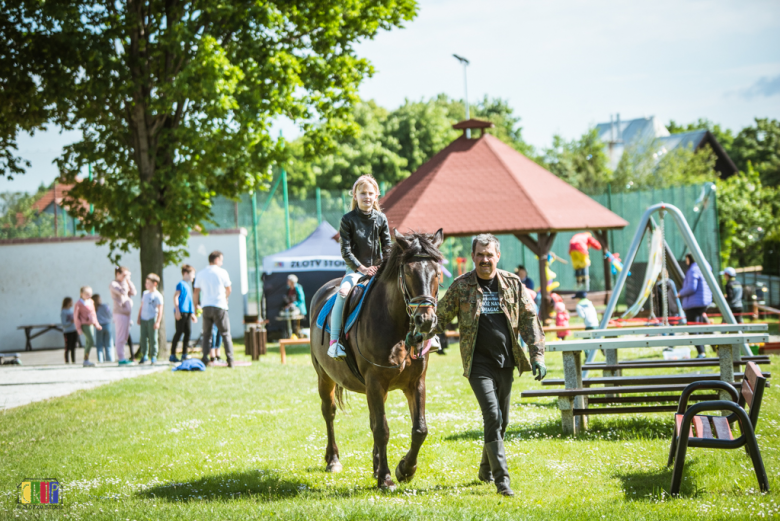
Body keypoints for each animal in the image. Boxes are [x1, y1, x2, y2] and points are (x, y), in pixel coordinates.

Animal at [310, 230, 444, 490]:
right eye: (408, 273)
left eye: (437, 273)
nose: (425, 321)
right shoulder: (375, 381)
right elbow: (382, 429)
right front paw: (386, 478)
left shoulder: (415, 382)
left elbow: (419, 429)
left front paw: (405, 469)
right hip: (324, 376)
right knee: (328, 412)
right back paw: (333, 460)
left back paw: (375, 465)